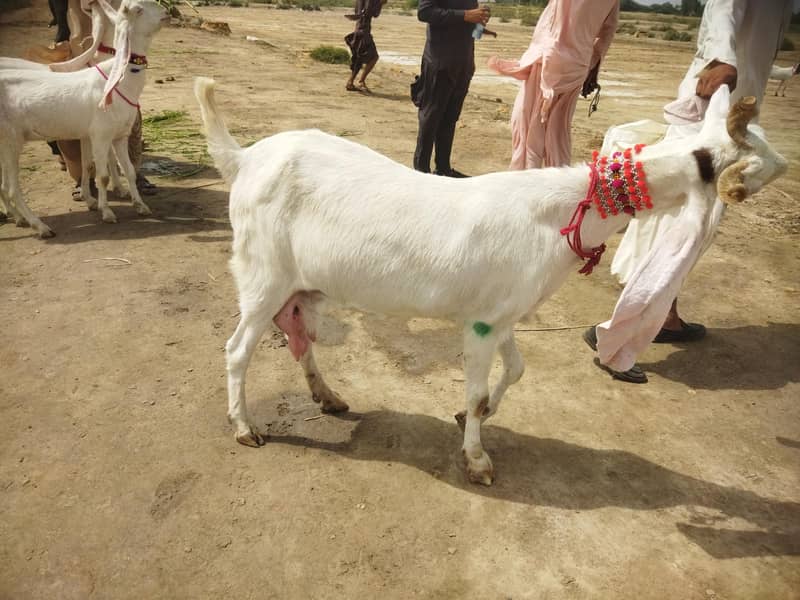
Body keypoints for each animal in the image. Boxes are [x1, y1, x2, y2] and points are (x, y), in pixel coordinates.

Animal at [0, 0, 166, 237]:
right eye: (139, 9)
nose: (166, 12)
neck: (118, 80)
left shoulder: (118, 135)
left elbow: (127, 170)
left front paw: (140, 206)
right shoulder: (100, 134)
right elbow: (103, 175)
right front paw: (107, 212)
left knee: (4, 186)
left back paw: (19, 219)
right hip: (11, 138)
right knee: (13, 188)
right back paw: (40, 226)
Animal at [195, 78, 786, 485]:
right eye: (753, 151)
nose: (786, 164)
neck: (561, 211)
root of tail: (244, 157)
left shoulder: (504, 312)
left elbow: (515, 371)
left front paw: (473, 416)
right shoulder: (481, 323)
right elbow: (479, 391)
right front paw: (477, 459)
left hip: (301, 287)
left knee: (299, 336)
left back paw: (328, 396)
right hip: (263, 275)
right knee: (237, 349)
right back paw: (245, 427)